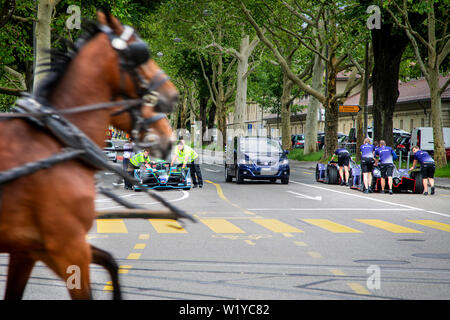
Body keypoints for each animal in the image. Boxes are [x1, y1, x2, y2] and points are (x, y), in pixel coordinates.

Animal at [0, 11, 179, 298]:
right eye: (140, 55)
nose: (172, 96)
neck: (59, 140)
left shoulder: (33, 249)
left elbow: (111, 262)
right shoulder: (67, 246)